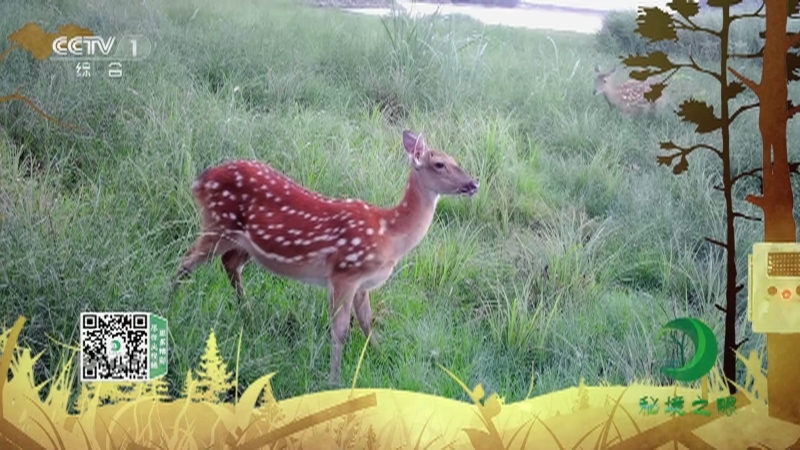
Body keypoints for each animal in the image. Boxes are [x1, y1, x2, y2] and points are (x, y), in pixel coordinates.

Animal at [173, 130, 480, 386]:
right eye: (439, 164)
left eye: (455, 159)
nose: (474, 183)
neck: (389, 234)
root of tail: (199, 182)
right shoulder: (345, 272)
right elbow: (341, 329)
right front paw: (335, 380)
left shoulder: (363, 284)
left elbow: (367, 322)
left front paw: (382, 356)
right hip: (218, 223)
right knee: (186, 262)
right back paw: (171, 304)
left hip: (243, 242)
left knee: (229, 264)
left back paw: (249, 315)